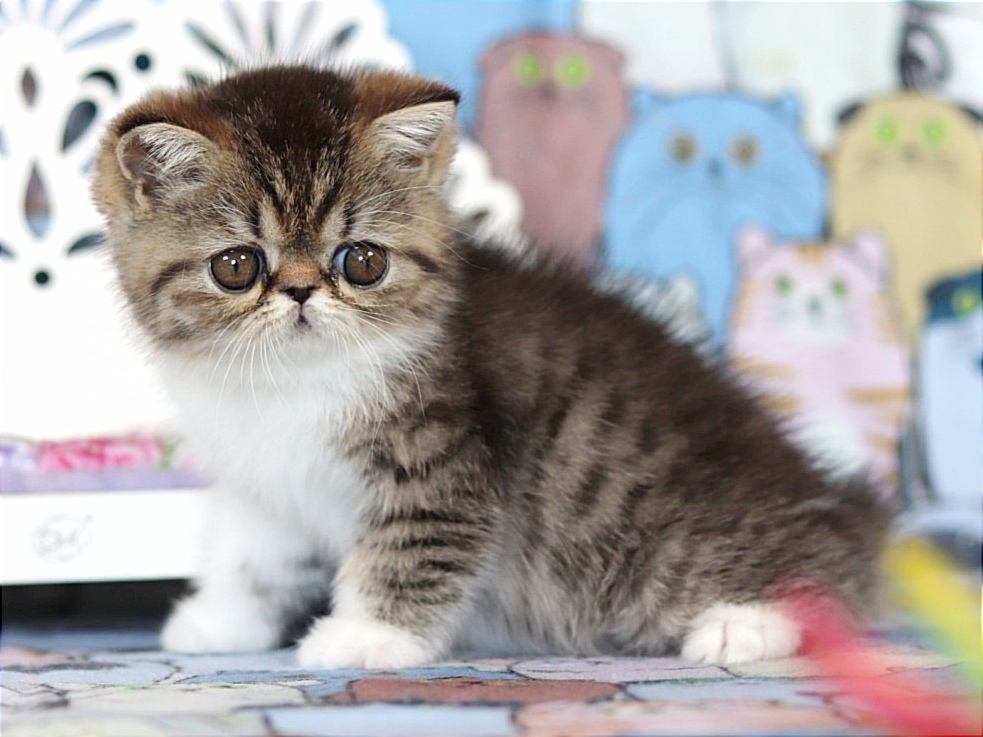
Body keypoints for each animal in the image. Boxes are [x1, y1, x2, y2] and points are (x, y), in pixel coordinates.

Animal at [94, 67, 892, 668]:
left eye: (362, 260)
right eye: (236, 266)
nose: (298, 291)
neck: (289, 384)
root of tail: (836, 498)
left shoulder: (445, 456)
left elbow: (414, 542)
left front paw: (366, 636)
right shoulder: (262, 480)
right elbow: (248, 554)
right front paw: (216, 620)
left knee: (825, 566)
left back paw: (742, 624)